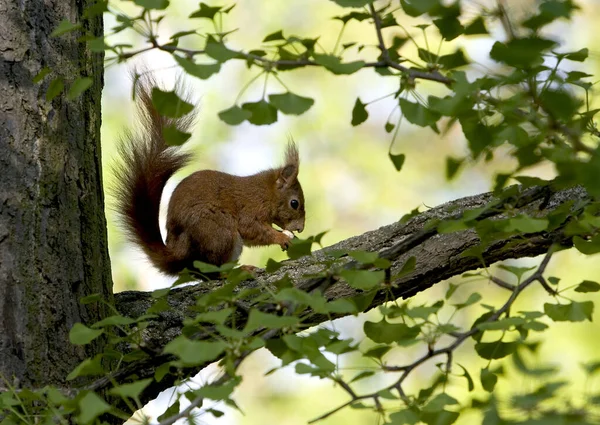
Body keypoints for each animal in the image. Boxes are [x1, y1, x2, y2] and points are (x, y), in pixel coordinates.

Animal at [115, 78, 308, 276]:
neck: (266, 192)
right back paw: (240, 270)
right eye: (294, 203)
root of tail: (179, 253)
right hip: (220, 232)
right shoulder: (250, 208)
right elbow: (252, 229)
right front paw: (281, 237)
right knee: (215, 271)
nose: (300, 228)